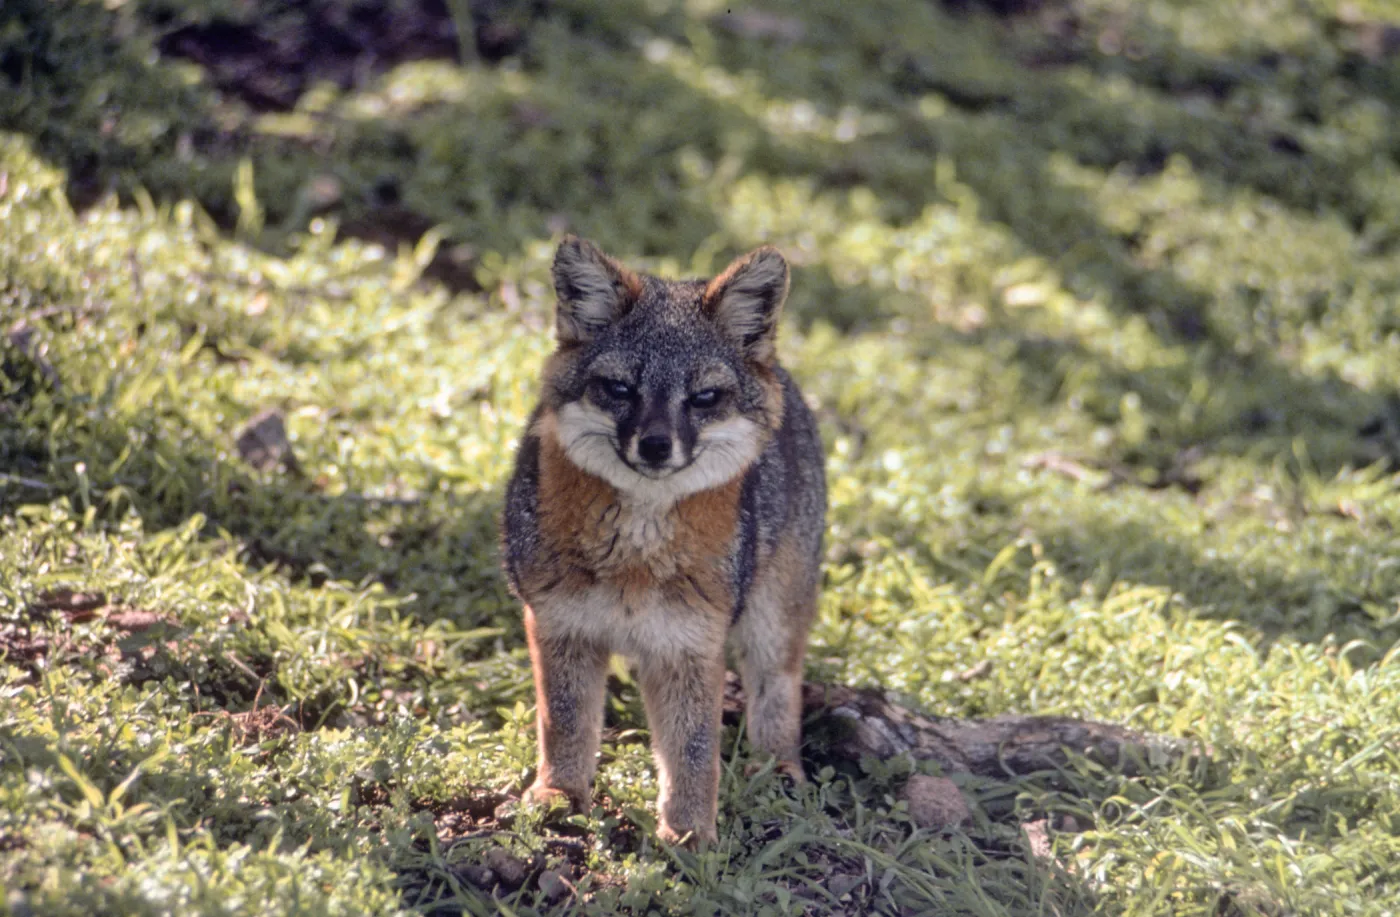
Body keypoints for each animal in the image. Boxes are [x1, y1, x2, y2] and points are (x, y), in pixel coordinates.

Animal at [502, 236, 826, 846]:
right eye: (620, 389)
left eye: (703, 397)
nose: (655, 445)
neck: (635, 556)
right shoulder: (559, 624)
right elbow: (566, 722)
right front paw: (560, 792)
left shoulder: (689, 645)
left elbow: (694, 750)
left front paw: (691, 833)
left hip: (772, 619)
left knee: (778, 690)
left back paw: (778, 769)